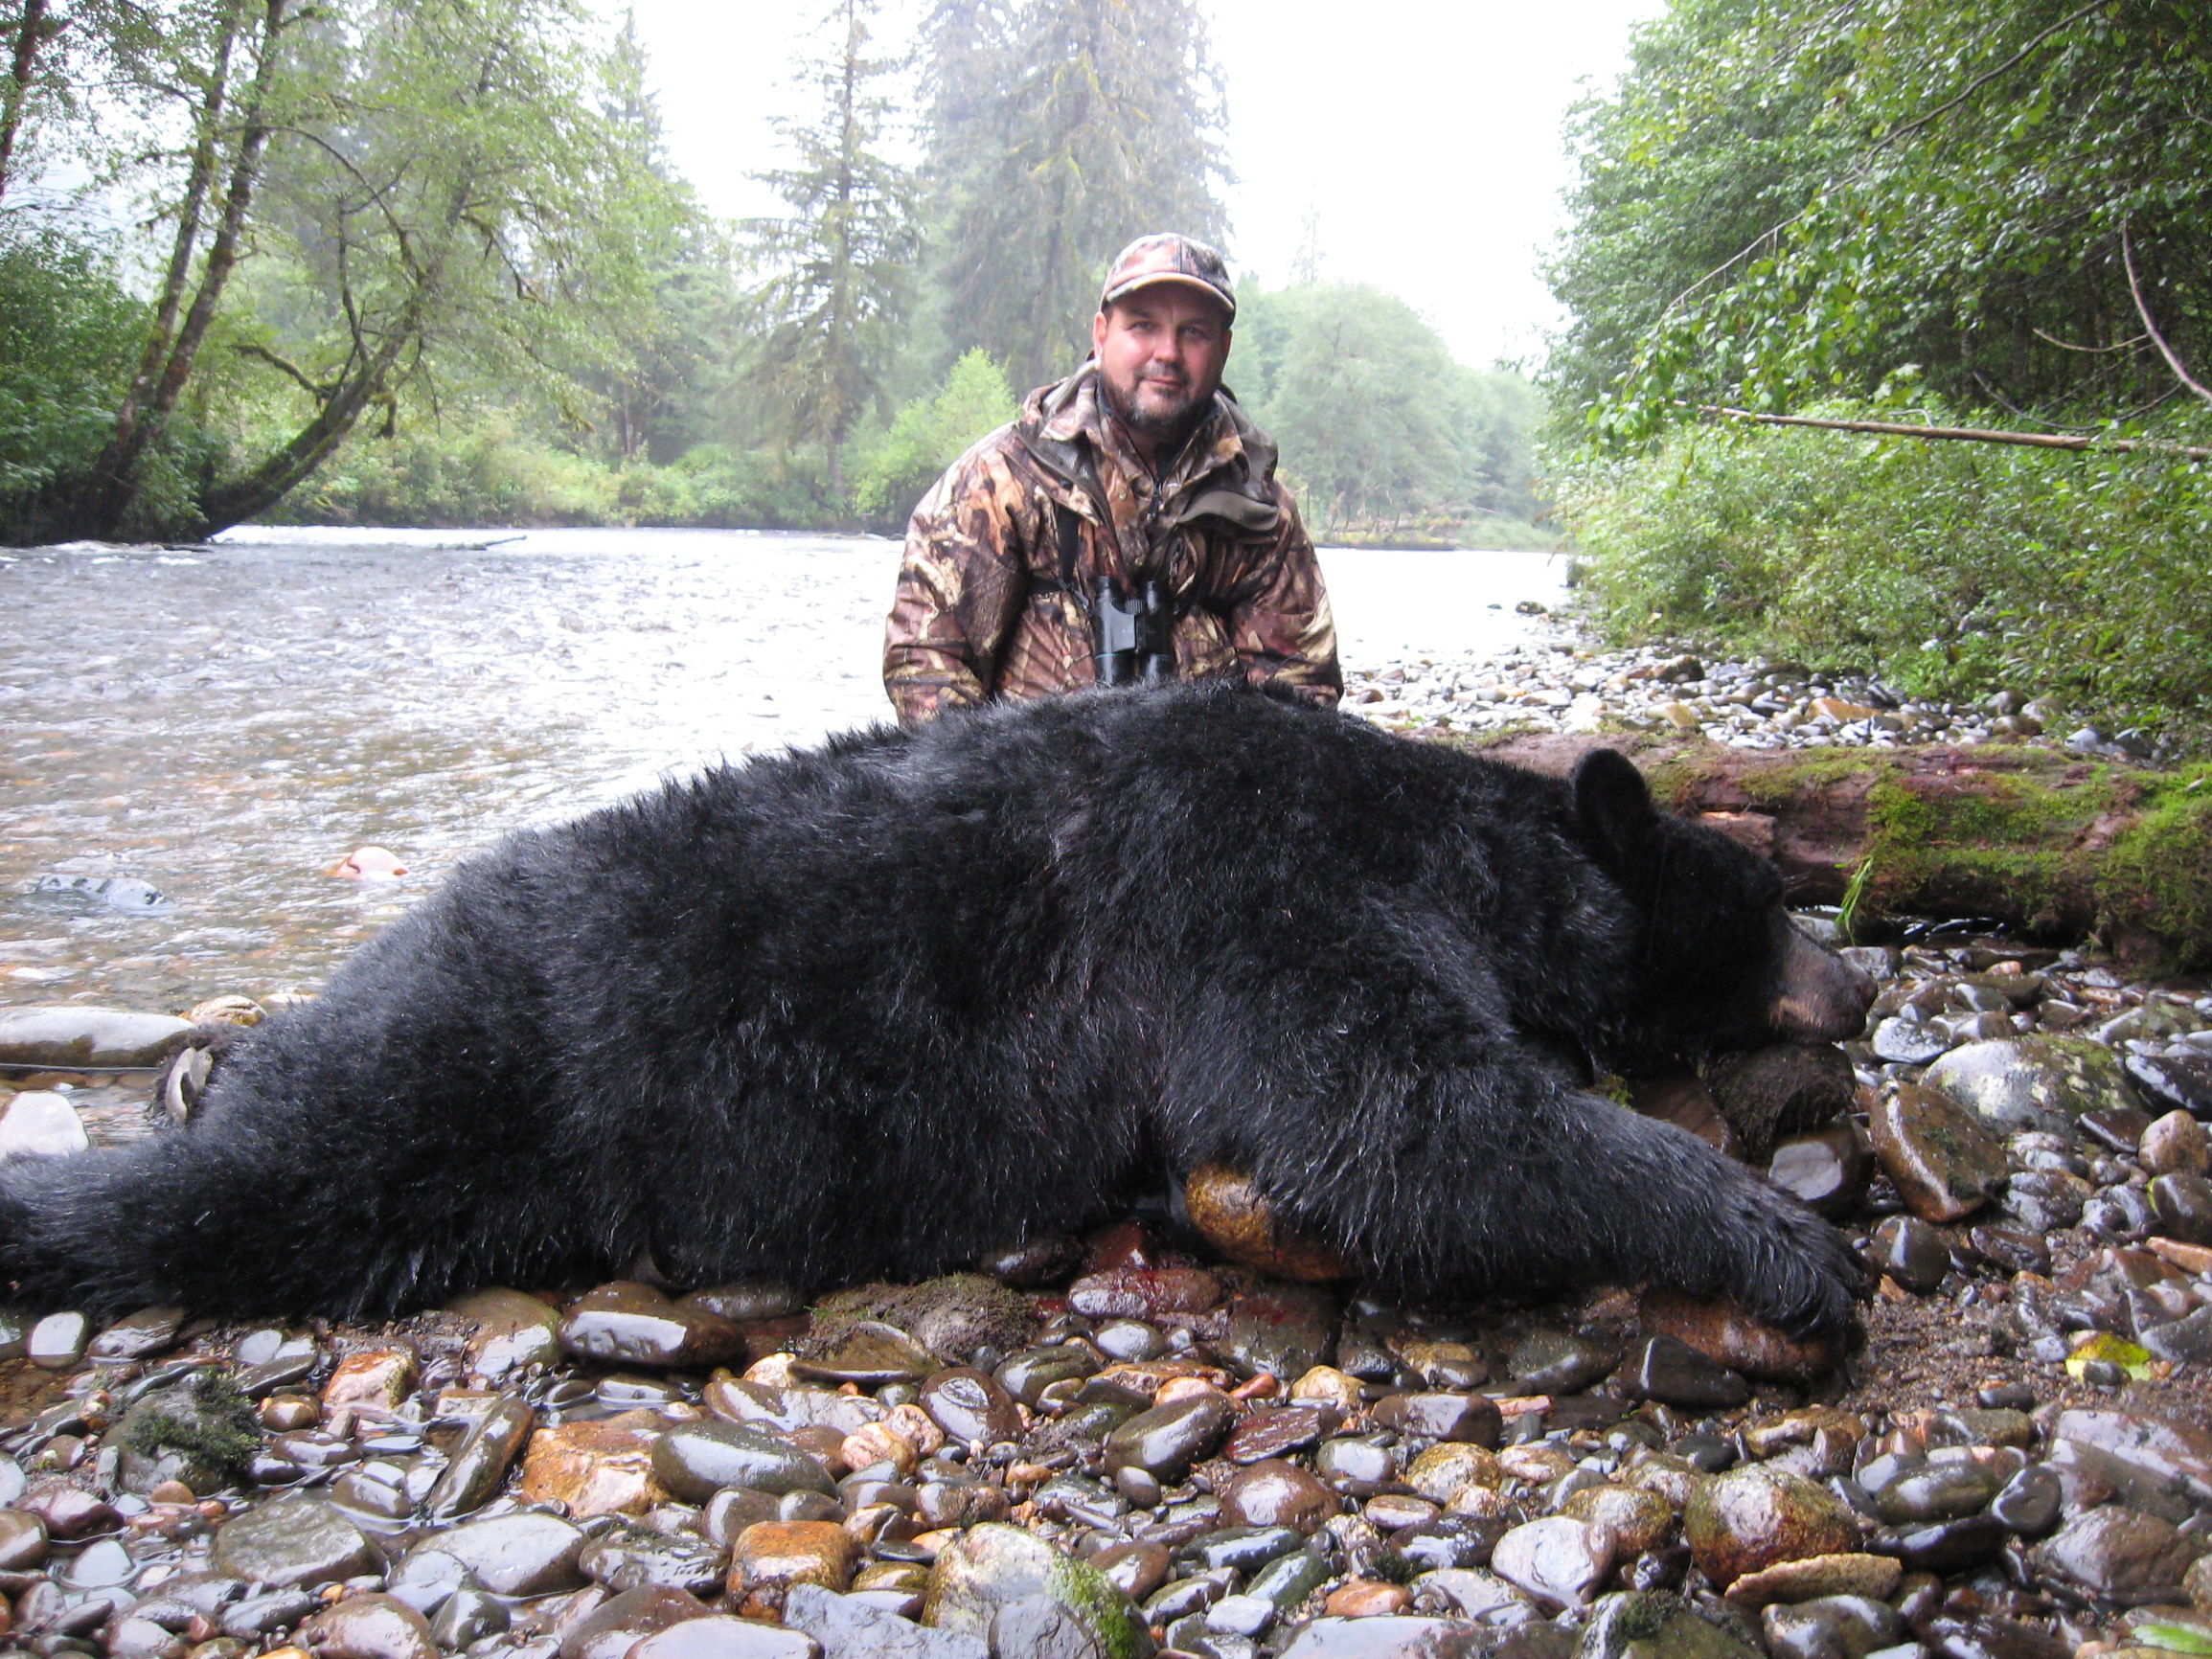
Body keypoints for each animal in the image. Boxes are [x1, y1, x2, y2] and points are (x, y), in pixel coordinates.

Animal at [0, 685, 1866, 1335]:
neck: (1445, 835)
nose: (1858, 978)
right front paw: (1777, 1238)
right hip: (457, 1072)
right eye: (1773, 907)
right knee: (250, 1193)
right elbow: (1388, 1124)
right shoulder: (1256, 883)